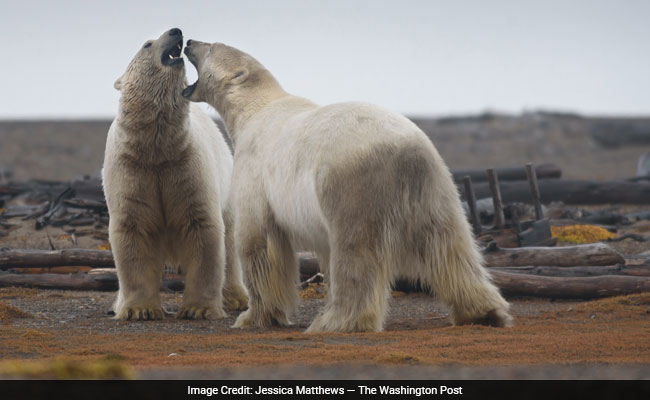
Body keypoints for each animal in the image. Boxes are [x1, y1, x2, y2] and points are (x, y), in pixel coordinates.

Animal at [103, 29, 248, 321]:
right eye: (147, 44)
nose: (176, 31)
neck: (156, 149)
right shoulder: (132, 170)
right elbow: (132, 228)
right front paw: (139, 310)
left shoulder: (185, 164)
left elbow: (202, 226)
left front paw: (198, 309)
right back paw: (118, 304)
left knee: (230, 244)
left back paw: (236, 298)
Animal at [181, 39, 513, 332]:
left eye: (212, 46)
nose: (188, 41)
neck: (256, 109)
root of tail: (406, 151)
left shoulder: (255, 170)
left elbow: (258, 241)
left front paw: (253, 317)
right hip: (435, 186)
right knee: (450, 246)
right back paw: (483, 311)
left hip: (351, 184)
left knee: (355, 251)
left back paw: (335, 322)